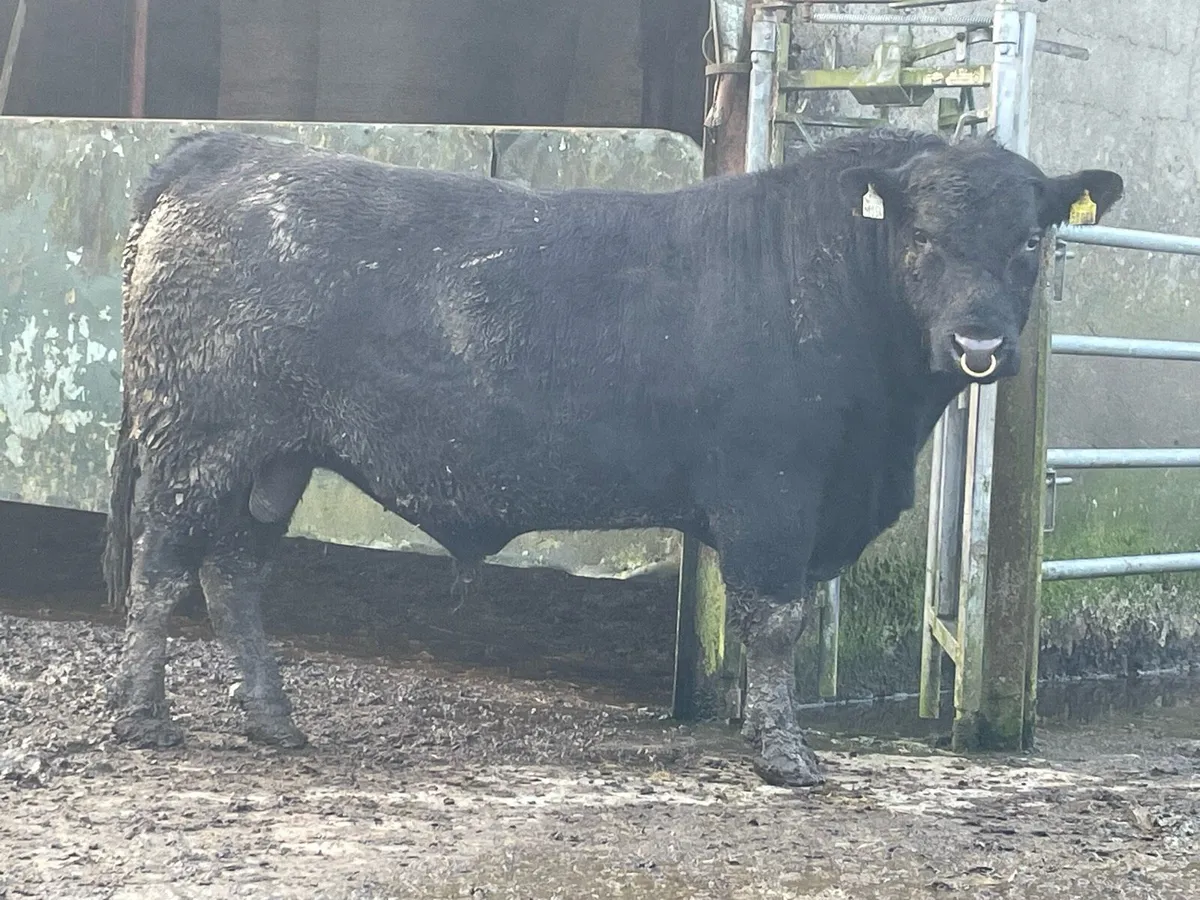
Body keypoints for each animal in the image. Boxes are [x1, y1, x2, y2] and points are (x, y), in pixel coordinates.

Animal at [103, 127, 1122, 787]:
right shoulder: (772, 492)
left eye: (1032, 237)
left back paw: (272, 721)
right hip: (199, 444)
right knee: (161, 568)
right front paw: (785, 755)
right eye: (922, 235)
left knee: (235, 574)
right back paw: (143, 720)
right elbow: (775, 622)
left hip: (272, 459)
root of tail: (231, 152)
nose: (979, 343)